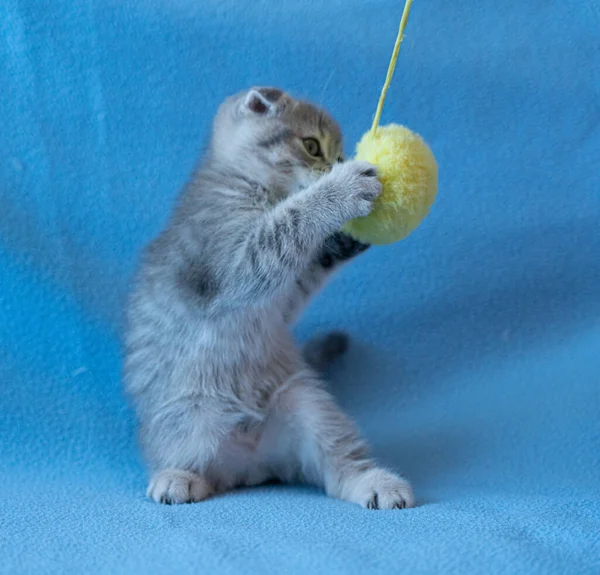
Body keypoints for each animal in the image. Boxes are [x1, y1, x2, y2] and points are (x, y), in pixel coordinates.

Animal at [122, 85, 412, 508]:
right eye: (312, 146)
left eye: (339, 152)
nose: (337, 165)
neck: (244, 182)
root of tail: (251, 465)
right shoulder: (235, 262)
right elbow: (288, 225)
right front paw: (339, 191)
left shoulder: (285, 294)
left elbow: (304, 269)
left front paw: (348, 235)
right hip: (189, 415)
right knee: (187, 458)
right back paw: (177, 477)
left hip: (308, 404)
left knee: (340, 465)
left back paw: (376, 483)